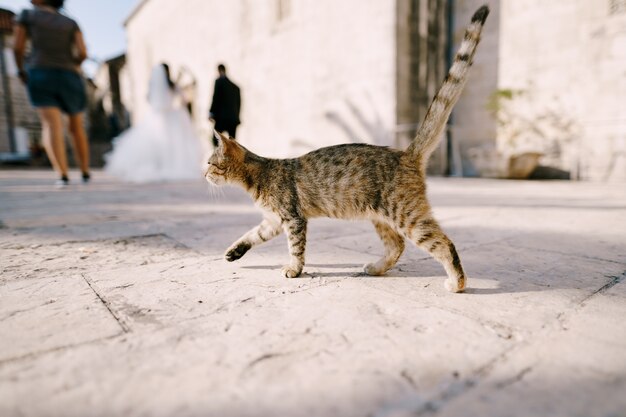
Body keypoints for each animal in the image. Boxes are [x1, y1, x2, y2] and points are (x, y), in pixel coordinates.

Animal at [204, 4, 488, 290]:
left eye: (210, 163)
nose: (203, 174)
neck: (258, 174)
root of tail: (406, 153)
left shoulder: (293, 219)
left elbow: (296, 249)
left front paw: (294, 269)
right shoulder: (272, 221)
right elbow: (252, 234)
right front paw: (234, 251)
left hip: (407, 215)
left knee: (443, 243)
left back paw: (457, 282)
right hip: (381, 218)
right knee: (397, 246)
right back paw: (376, 268)